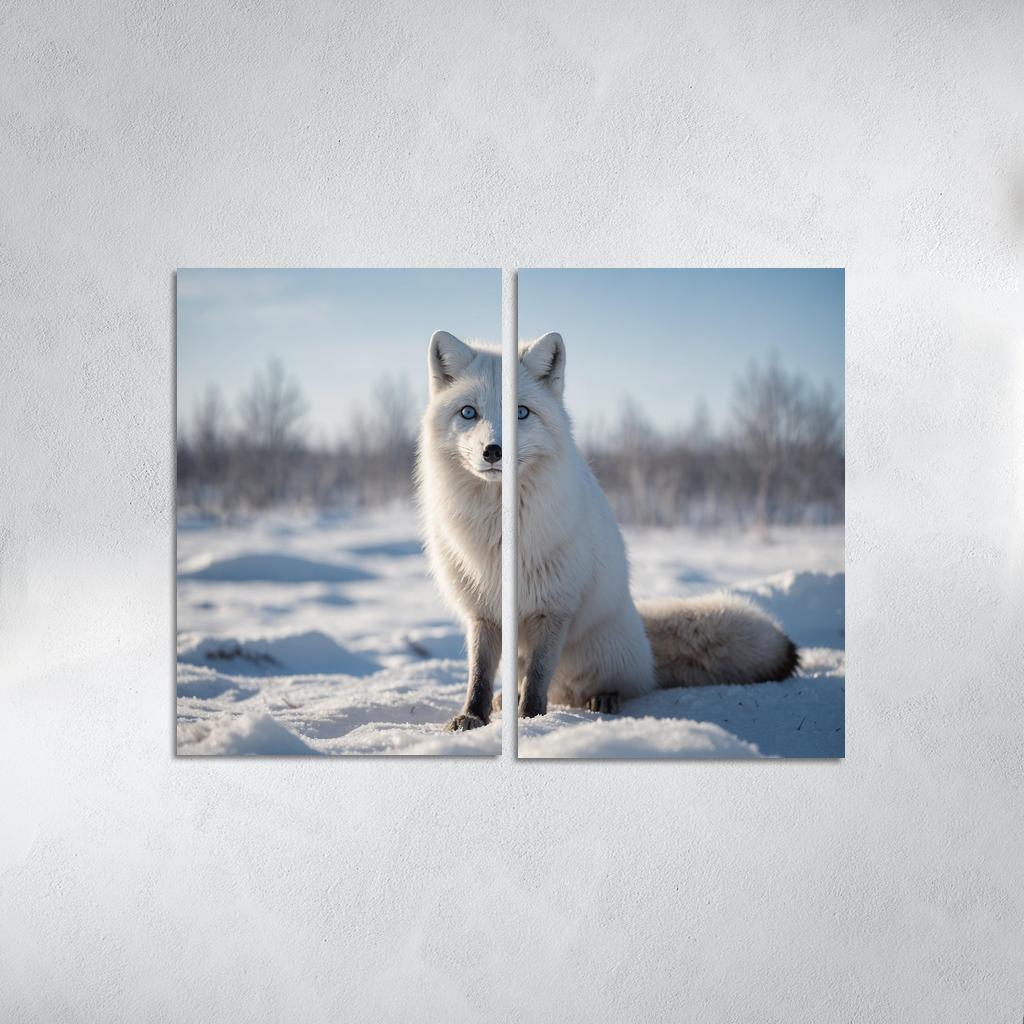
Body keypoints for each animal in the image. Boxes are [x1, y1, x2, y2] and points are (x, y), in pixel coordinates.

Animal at [417, 329, 799, 732]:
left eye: (521, 412)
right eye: (468, 412)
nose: (493, 451)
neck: (498, 528)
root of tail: (638, 625)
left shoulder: (554, 607)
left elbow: (538, 676)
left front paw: (533, 720)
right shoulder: (482, 611)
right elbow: (479, 673)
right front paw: (473, 716)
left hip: (601, 652)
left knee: (614, 684)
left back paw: (602, 697)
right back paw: (506, 699)